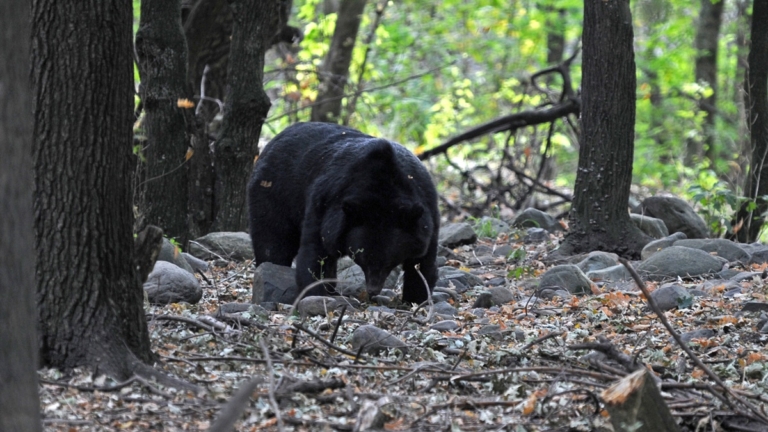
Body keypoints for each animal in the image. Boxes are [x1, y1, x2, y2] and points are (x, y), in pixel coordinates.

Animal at [247, 122, 439, 304]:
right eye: (363, 259)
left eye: (389, 263)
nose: (373, 290)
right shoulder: (325, 202)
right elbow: (315, 251)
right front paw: (314, 294)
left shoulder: (426, 208)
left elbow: (423, 261)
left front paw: (416, 299)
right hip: (273, 194)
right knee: (273, 242)